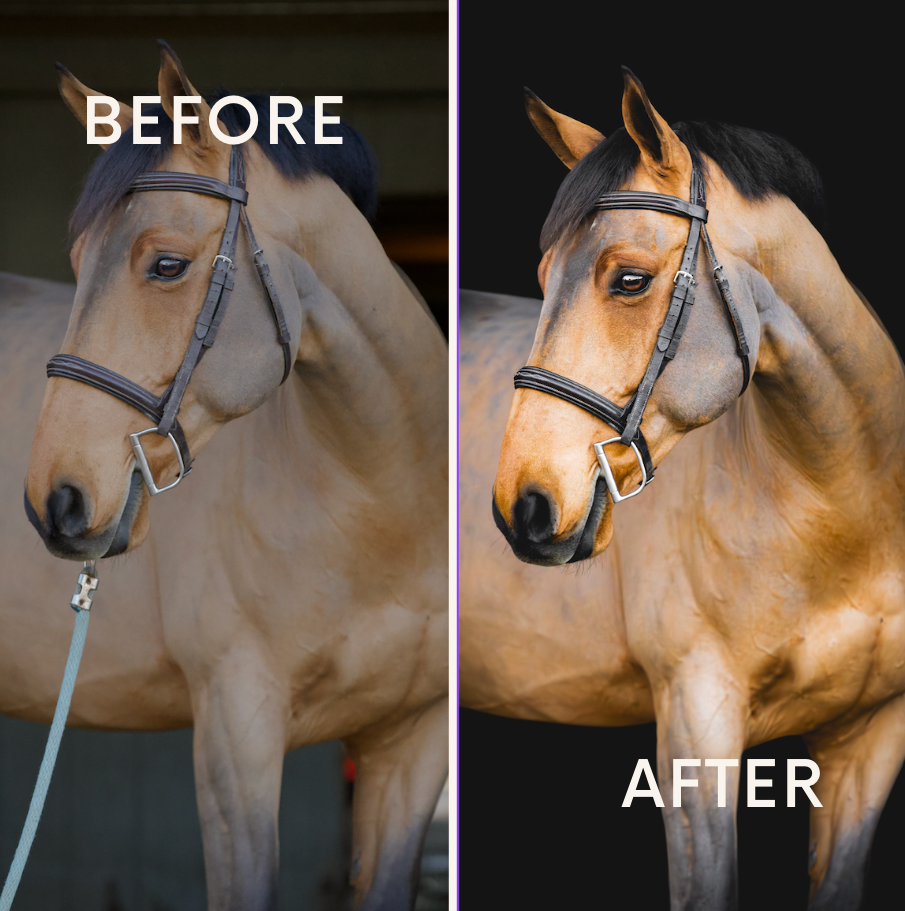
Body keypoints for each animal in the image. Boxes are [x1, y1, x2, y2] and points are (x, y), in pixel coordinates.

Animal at [1, 43, 447, 911]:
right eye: (75, 265)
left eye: (167, 264)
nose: (55, 499)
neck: (381, 506)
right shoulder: (236, 730)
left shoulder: (412, 744)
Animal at [459, 67, 905, 911]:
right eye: (540, 282)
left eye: (628, 280)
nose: (523, 505)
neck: (842, 517)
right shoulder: (697, 727)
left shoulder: (868, 741)